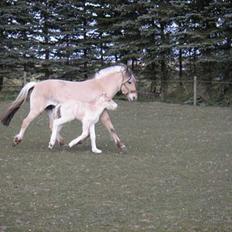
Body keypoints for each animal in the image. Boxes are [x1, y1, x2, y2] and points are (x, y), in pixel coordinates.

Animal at [0, 64, 137, 150]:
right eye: (130, 81)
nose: (134, 97)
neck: (100, 87)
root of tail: (36, 84)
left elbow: (93, 132)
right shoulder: (102, 113)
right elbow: (110, 127)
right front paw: (121, 146)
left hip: (51, 110)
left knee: (52, 125)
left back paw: (60, 142)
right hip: (36, 110)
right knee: (26, 121)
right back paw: (17, 140)